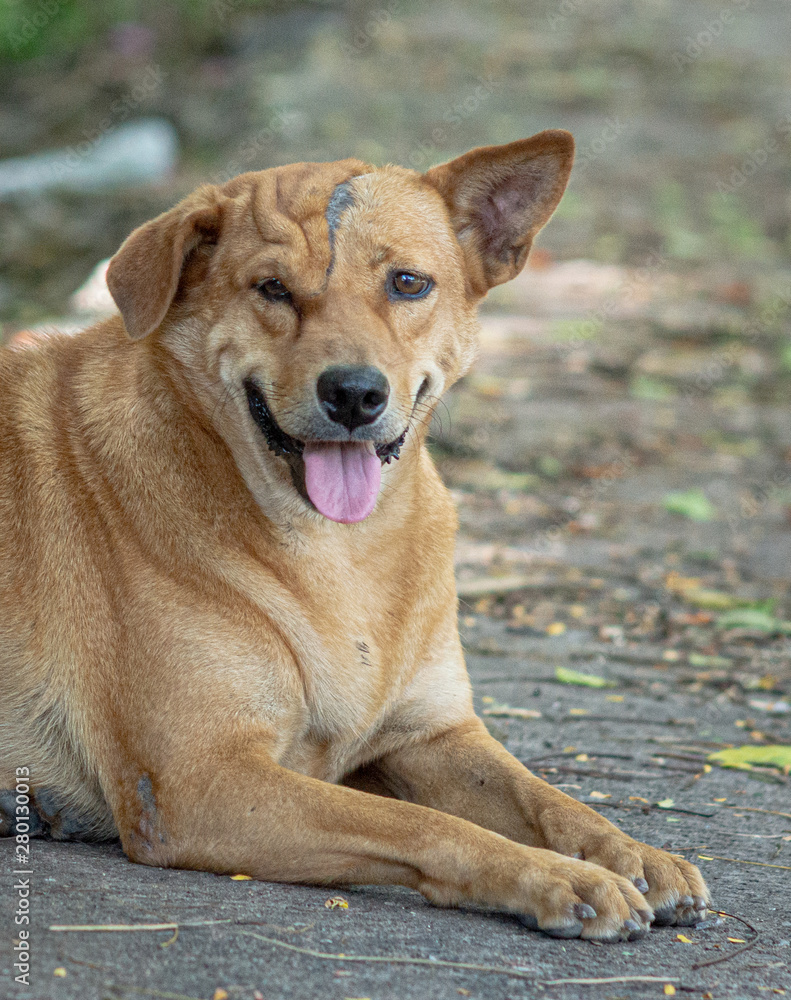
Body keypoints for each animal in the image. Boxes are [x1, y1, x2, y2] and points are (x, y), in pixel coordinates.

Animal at [0, 131, 704, 936]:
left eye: (407, 283)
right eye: (272, 288)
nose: (354, 394)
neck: (340, 550)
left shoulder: (433, 736)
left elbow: (545, 796)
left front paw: (630, 850)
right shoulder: (199, 778)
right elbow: (424, 825)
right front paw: (558, 876)